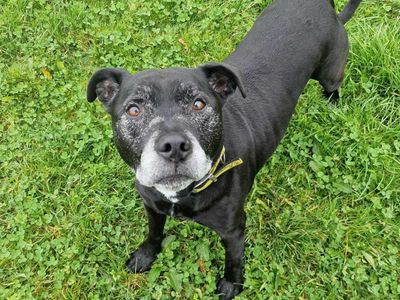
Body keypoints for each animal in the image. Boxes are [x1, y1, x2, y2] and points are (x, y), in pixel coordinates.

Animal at [87, 1, 362, 298]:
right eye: (133, 110)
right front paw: (146, 255)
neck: (182, 194)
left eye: (199, 104)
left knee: (334, 86)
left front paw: (232, 285)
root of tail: (326, 8)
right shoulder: (152, 205)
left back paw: (331, 106)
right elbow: (154, 232)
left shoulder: (234, 230)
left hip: (330, 71)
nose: (174, 146)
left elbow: (234, 260)